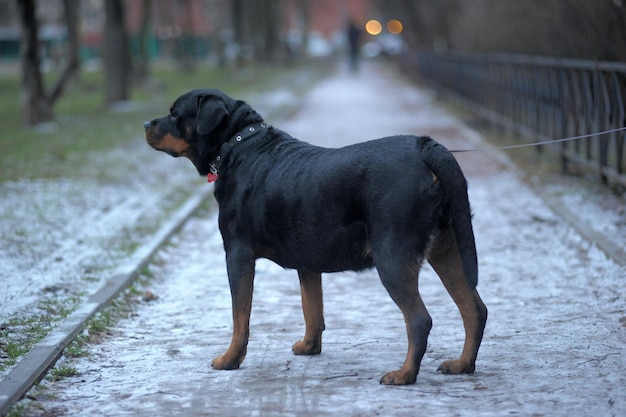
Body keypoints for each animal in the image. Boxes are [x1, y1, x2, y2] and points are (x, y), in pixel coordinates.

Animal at [144, 88, 486, 384]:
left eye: (175, 114)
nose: (146, 123)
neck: (237, 146)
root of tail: (426, 147)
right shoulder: (307, 261)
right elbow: (311, 307)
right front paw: (310, 346)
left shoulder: (237, 254)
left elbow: (240, 317)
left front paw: (230, 359)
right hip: (447, 247)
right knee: (474, 309)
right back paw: (463, 364)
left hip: (393, 255)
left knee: (419, 319)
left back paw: (404, 374)